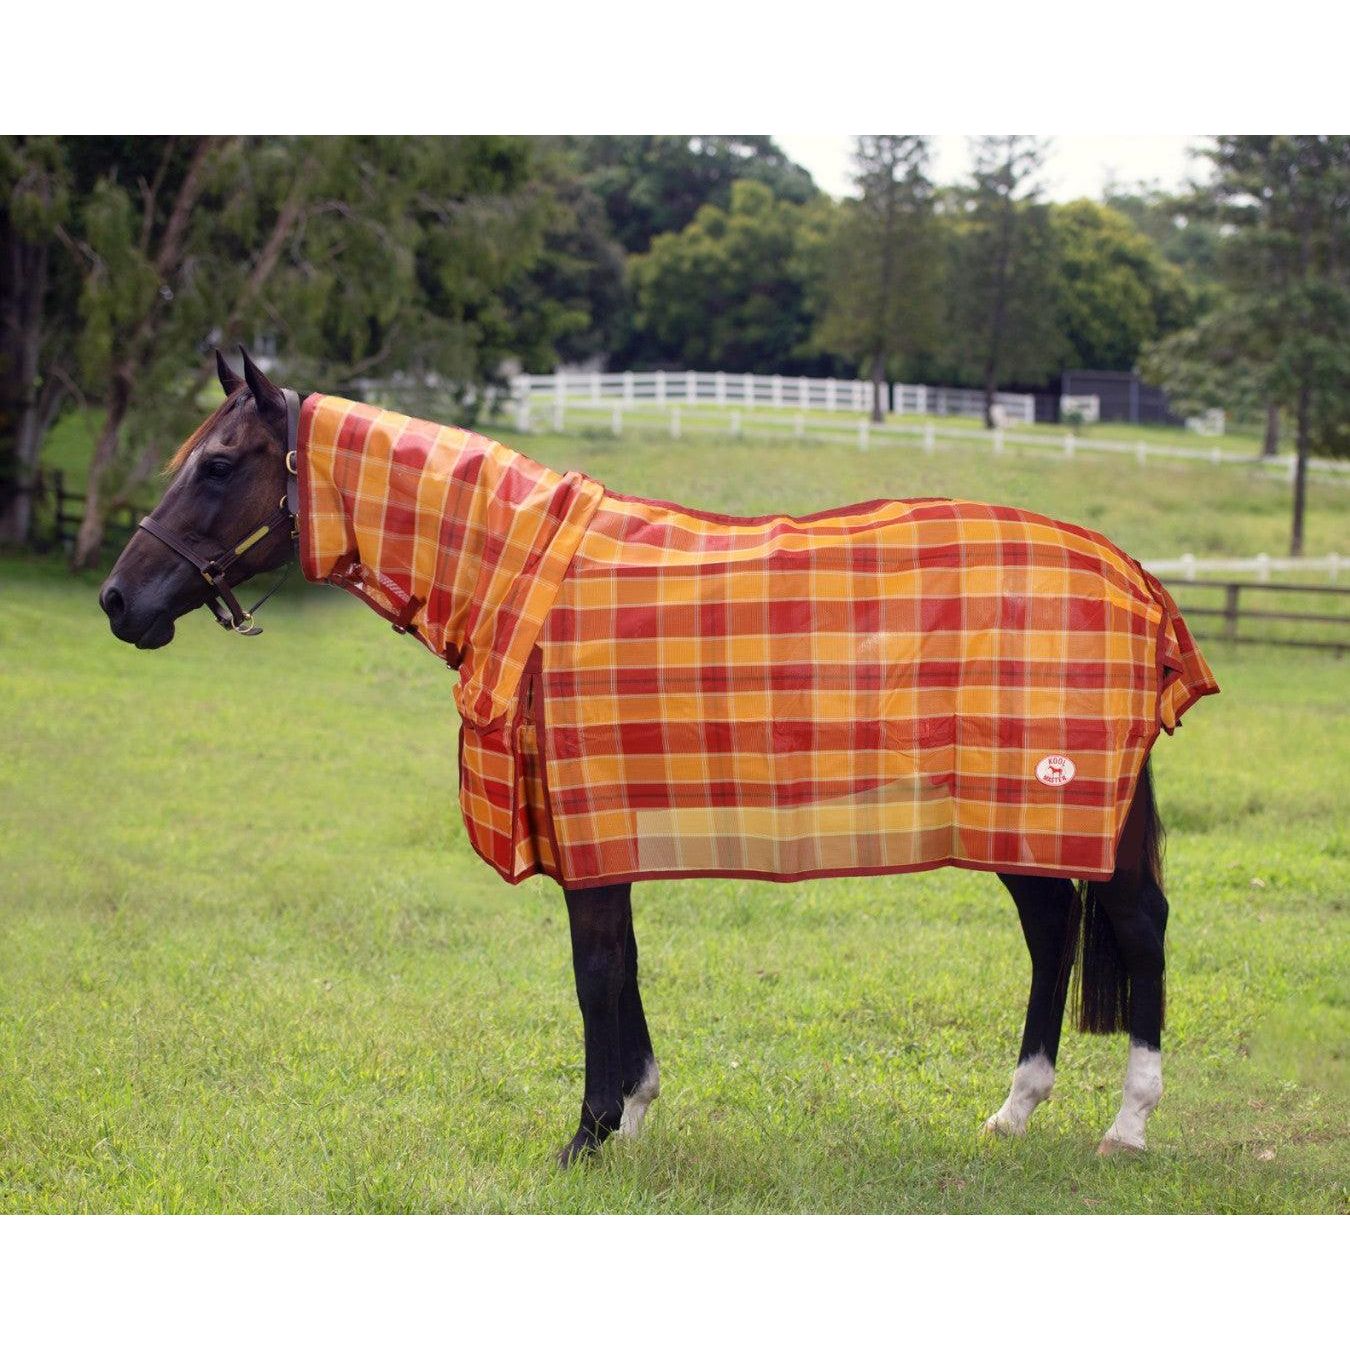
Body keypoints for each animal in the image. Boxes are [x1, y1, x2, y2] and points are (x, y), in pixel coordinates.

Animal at [99, 350, 1216, 1165]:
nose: (118, 601)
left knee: (1136, 925)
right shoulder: (601, 830)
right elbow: (621, 968)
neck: (520, 578)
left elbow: (596, 971)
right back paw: (1015, 1110)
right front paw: (630, 1115)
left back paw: (1127, 1126)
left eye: (217, 464)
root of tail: (1135, 578)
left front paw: (589, 1136)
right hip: (1008, 812)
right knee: (1051, 931)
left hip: (1065, 805)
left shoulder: (588, 824)